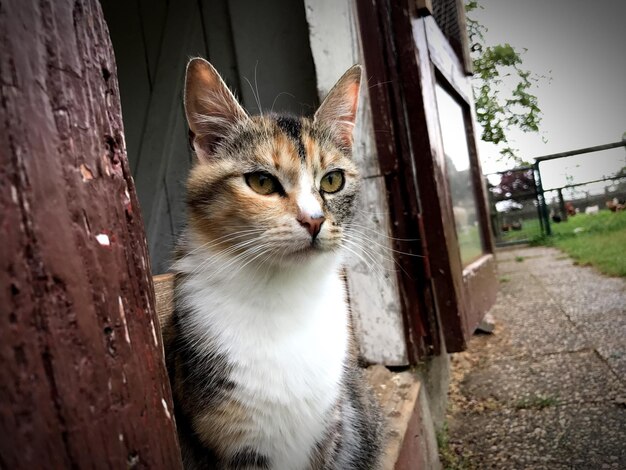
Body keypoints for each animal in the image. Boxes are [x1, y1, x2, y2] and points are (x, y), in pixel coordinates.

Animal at [163, 58, 382, 470]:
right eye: (262, 182)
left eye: (333, 180)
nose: (314, 220)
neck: (283, 295)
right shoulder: (233, 443)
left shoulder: (330, 427)